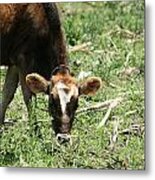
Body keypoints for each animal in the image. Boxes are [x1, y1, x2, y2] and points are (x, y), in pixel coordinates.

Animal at [0, 2, 101, 143]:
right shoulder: (23, 60)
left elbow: (7, 94)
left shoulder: (14, 62)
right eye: (52, 101)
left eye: (76, 104)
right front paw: (36, 134)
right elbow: (29, 98)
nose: (63, 138)